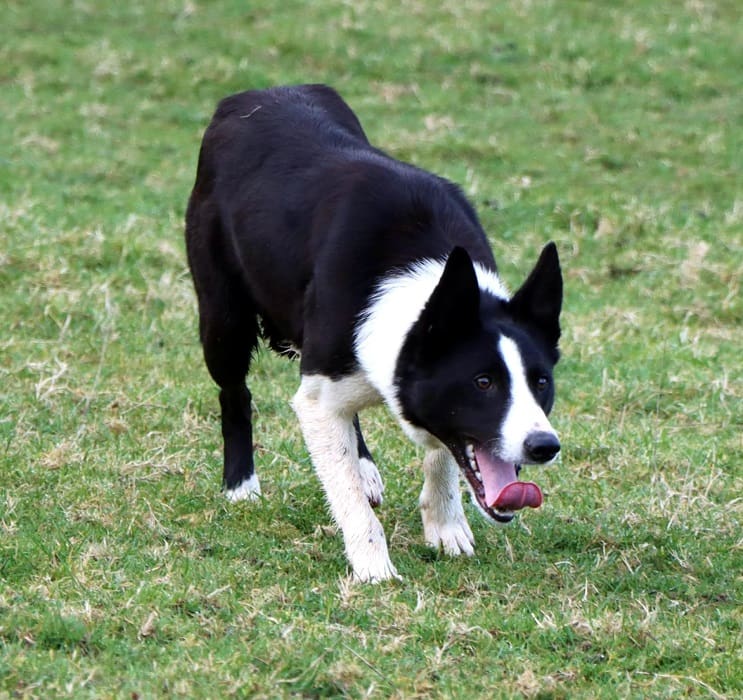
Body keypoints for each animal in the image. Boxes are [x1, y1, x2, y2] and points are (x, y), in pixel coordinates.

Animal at [186, 85, 564, 584]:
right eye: (483, 383)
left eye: (541, 383)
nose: (544, 446)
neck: (419, 272)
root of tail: (251, 96)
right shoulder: (319, 392)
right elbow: (345, 485)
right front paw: (373, 567)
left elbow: (442, 451)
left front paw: (445, 526)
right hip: (224, 319)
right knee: (235, 393)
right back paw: (241, 486)